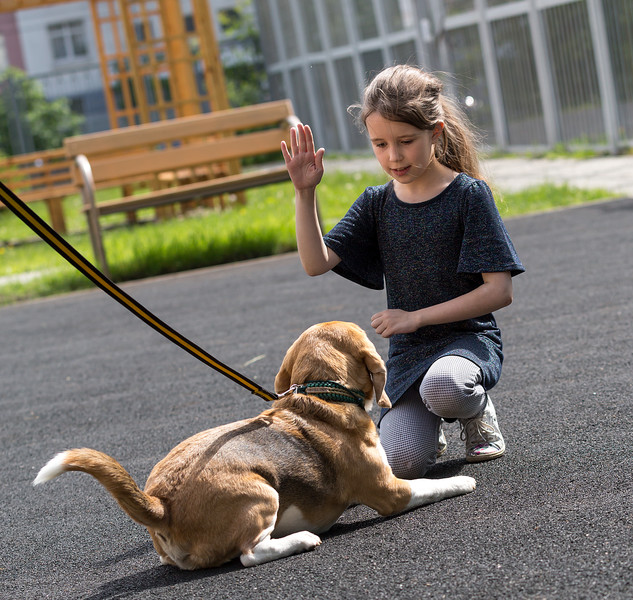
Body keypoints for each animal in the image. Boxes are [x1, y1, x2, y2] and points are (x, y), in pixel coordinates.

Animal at [32, 322, 472, 568]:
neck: (321, 394)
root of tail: (160, 504)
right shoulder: (391, 491)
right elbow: (430, 486)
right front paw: (463, 482)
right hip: (261, 493)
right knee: (248, 555)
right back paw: (301, 540)